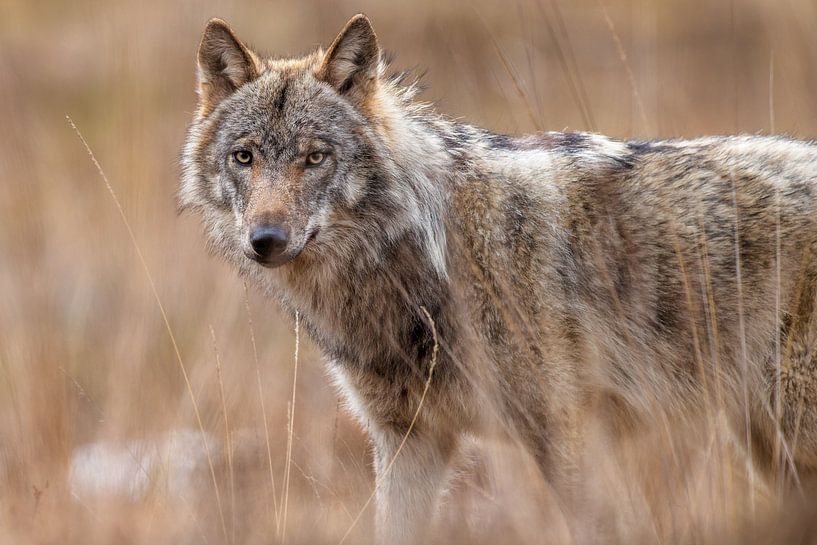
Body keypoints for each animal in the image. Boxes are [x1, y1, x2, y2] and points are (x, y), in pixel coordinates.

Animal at [180, 14, 817, 543]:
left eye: (315, 157)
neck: (426, 256)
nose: (265, 240)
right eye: (244, 157)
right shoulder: (409, 441)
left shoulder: (567, 433)